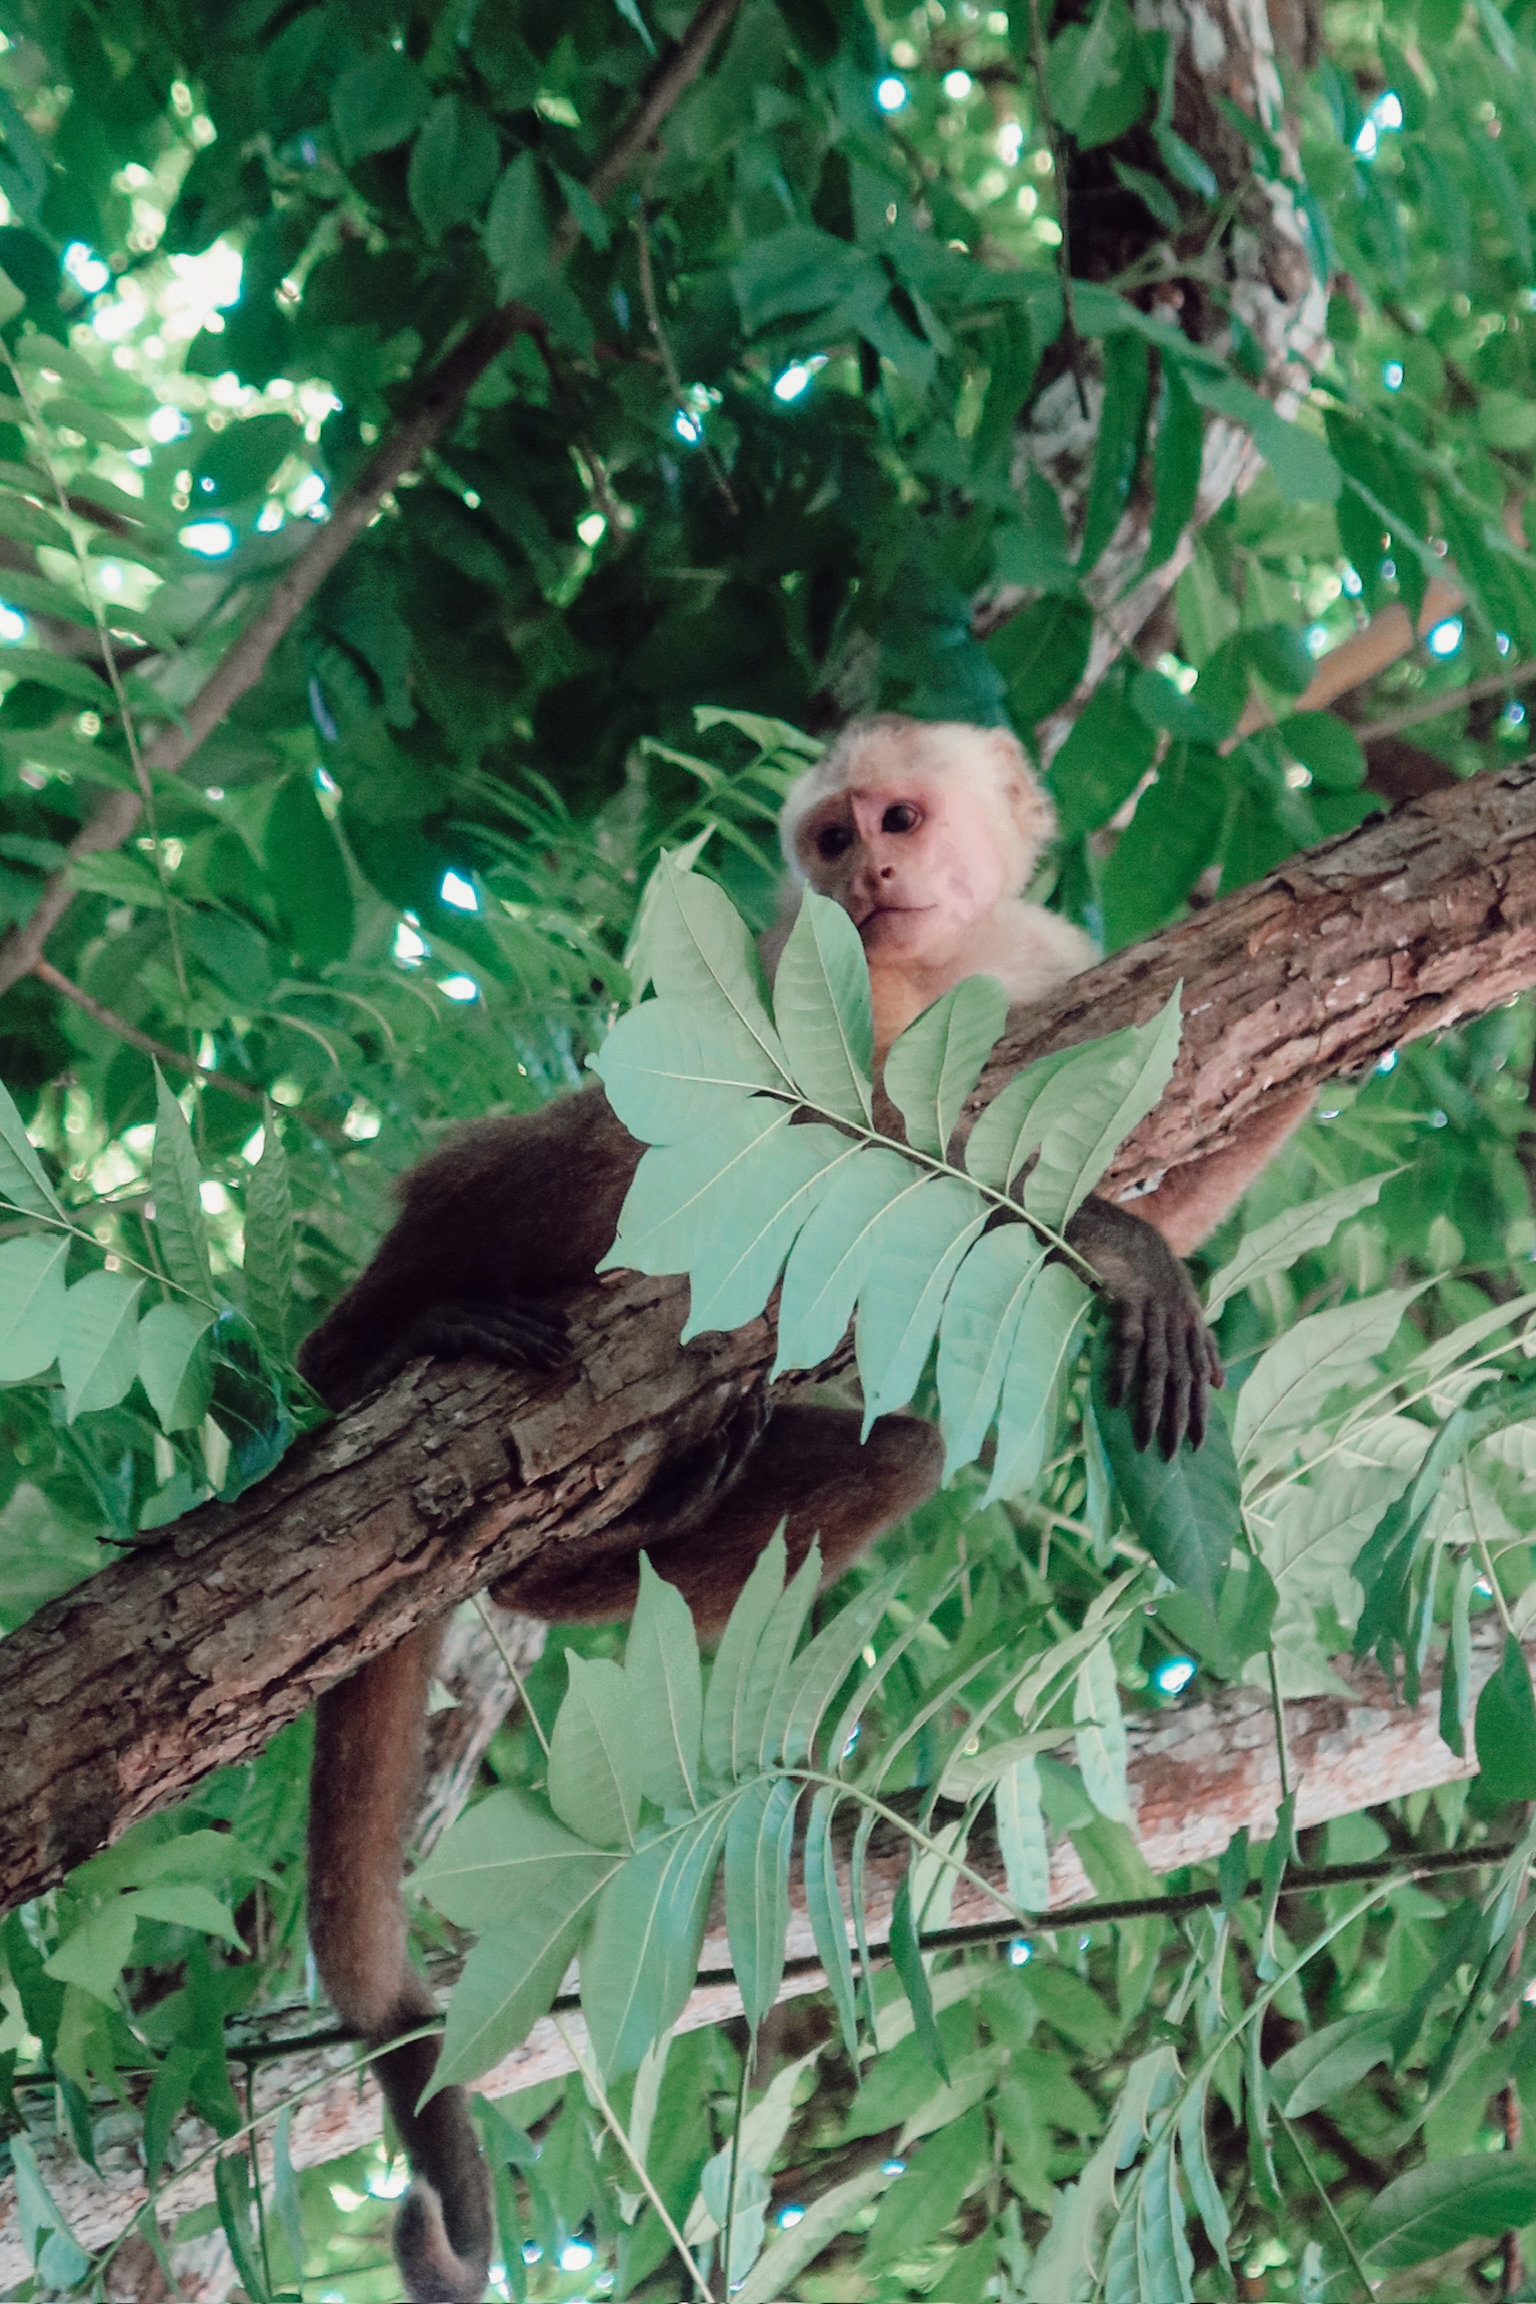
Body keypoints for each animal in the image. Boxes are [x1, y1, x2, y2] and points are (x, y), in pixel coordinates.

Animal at [297, 713, 1251, 2303]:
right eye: (827, 838)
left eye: (900, 818)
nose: (865, 869)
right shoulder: (813, 964)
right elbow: (836, 1124)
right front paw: (1120, 1241)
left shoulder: (1048, 954)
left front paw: (1148, 1244)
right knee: (627, 1140)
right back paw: (370, 1342)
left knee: (894, 1451)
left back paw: (613, 1532)